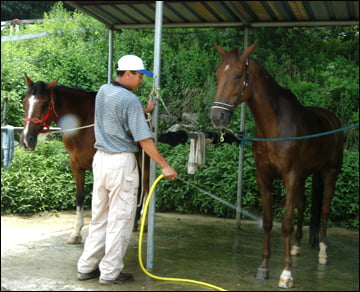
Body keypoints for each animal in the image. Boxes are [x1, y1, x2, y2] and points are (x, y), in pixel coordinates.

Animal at [20, 74, 150, 244]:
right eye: (24, 101)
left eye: (44, 103)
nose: (26, 140)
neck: (83, 124)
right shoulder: (76, 165)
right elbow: (80, 197)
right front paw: (76, 233)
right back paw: (134, 223)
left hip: (144, 162)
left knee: (146, 188)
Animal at [210, 42, 344, 288]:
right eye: (217, 75)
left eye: (238, 75)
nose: (217, 117)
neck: (275, 125)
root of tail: (331, 118)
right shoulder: (264, 176)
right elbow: (268, 221)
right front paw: (263, 268)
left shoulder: (290, 176)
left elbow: (286, 223)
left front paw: (286, 274)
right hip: (304, 176)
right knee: (303, 204)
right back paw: (297, 247)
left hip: (329, 173)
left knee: (324, 210)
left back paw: (322, 252)